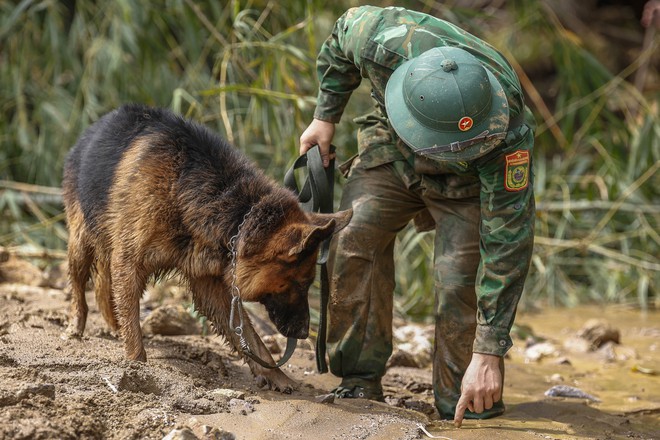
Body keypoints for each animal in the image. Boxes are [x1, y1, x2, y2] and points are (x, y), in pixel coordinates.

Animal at [61, 104, 350, 392]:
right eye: (301, 284)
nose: (303, 333)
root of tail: (98, 124)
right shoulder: (129, 263)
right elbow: (133, 323)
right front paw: (136, 365)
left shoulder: (211, 286)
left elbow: (251, 338)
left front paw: (277, 376)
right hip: (80, 242)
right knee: (79, 288)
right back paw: (76, 326)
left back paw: (113, 325)